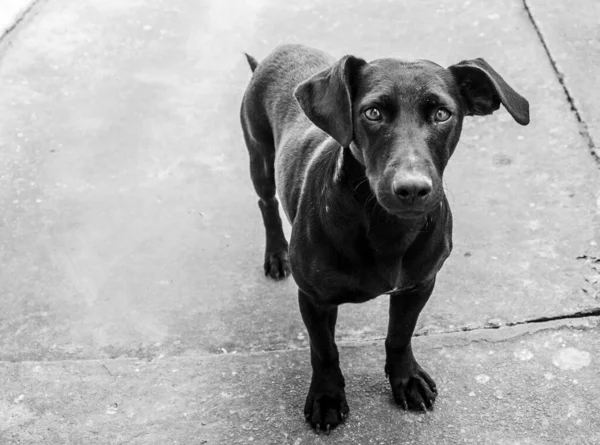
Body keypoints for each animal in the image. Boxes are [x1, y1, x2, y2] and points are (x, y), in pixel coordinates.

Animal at [237, 43, 528, 432]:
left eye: (442, 113)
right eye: (372, 112)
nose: (412, 189)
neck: (385, 226)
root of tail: (277, 52)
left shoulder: (419, 285)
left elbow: (400, 335)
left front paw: (406, 379)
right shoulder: (314, 299)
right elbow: (324, 351)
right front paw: (327, 397)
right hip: (259, 156)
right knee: (265, 203)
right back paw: (275, 255)